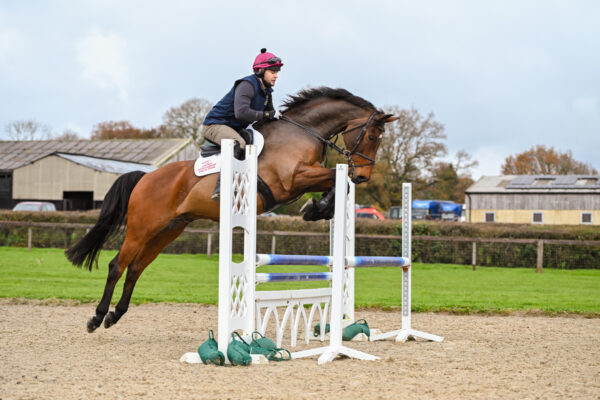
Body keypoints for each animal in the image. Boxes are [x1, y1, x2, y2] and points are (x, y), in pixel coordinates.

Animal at [65, 86, 398, 332]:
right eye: (371, 136)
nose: (364, 176)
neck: (303, 132)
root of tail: (145, 177)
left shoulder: (302, 180)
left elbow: (339, 182)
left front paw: (317, 209)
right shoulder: (292, 180)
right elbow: (334, 178)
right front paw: (314, 208)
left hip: (168, 230)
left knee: (135, 268)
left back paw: (115, 316)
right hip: (141, 228)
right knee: (117, 266)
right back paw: (97, 317)